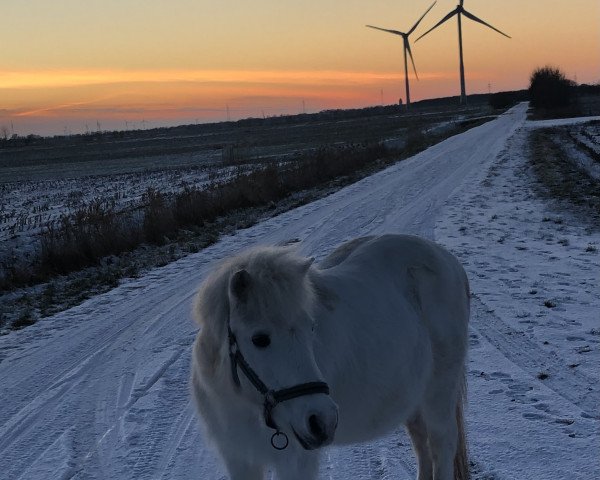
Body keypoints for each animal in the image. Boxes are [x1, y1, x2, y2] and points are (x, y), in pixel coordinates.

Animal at [190, 234, 472, 478]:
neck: (244, 406)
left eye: (311, 328)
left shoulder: (295, 463)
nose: (322, 421)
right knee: (421, 443)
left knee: (442, 443)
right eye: (259, 339)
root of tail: (447, 257)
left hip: (439, 391)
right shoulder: (240, 460)